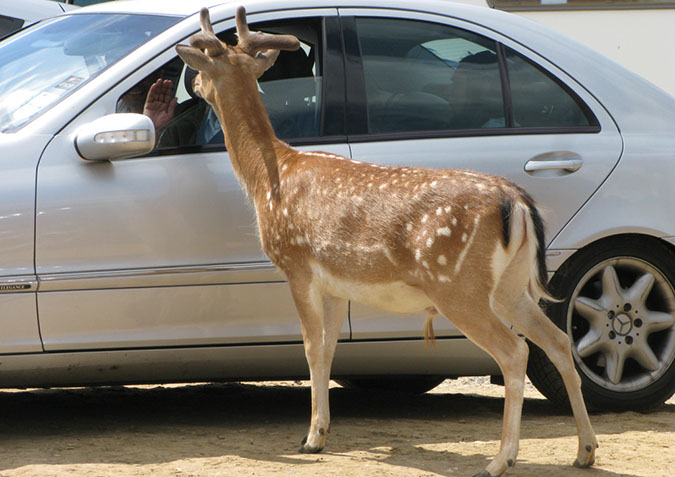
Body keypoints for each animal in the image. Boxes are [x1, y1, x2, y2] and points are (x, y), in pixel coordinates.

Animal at [177, 7, 600, 476]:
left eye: (203, 64)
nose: (191, 87)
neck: (269, 177)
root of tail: (517, 202)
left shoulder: (297, 264)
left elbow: (310, 349)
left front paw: (311, 439)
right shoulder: (335, 283)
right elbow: (328, 350)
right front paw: (322, 433)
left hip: (457, 285)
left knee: (514, 352)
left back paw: (499, 460)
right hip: (510, 284)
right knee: (558, 341)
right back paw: (584, 451)